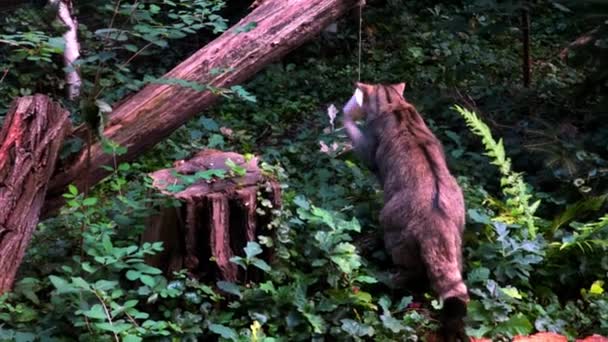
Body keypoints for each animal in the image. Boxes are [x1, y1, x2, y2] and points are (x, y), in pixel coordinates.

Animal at [342, 81, 470, 340]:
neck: (395, 103)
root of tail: (437, 226)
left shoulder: (369, 152)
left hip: (394, 236)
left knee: (409, 274)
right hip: (456, 242)